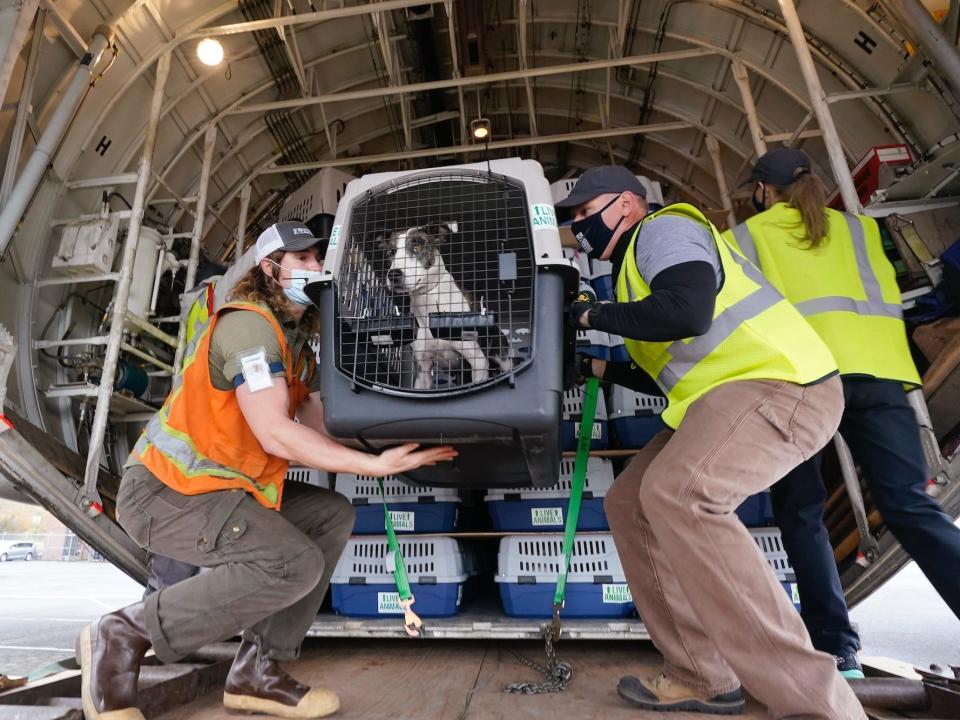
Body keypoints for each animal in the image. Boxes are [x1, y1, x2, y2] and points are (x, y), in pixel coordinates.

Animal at [376, 222, 510, 390]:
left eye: (417, 247)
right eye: (390, 252)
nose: (394, 275)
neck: (429, 299)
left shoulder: (478, 361)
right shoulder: (423, 369)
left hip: (502, 356)